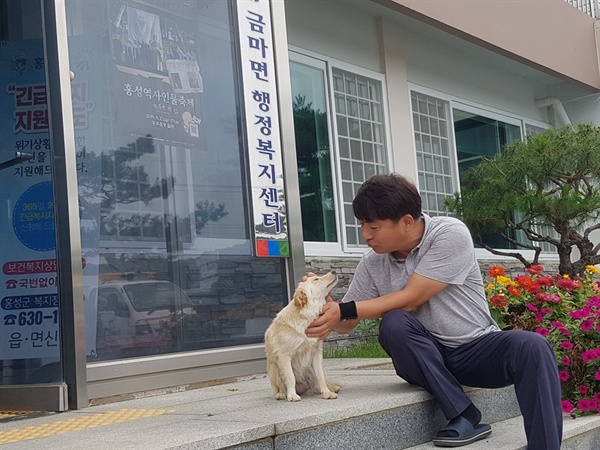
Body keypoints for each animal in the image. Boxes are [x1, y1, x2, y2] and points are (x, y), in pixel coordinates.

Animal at [264, 270, 342, 400]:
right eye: (316, 279)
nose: (334, 271)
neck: (306, 317)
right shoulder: (284, 356)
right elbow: (290, 377)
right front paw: (292, 395)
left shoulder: (316, 354)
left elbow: (321, 376)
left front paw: (326, 392)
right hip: (274, 368)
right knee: (279, 388)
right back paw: (282, 394)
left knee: (316, 384)